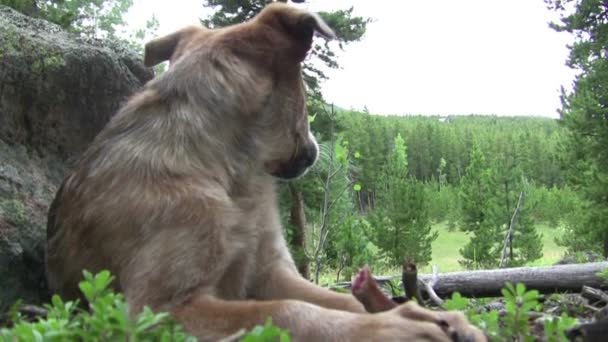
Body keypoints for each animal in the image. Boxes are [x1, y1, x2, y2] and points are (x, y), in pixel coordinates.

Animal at [45, 3, 486, 342]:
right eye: (303, 90)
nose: (315, 151)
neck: (231, 173)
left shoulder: (269, 271)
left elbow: (337, 299)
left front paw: (424, 314)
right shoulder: (158, 307)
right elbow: (287, 310)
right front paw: (393, 328)